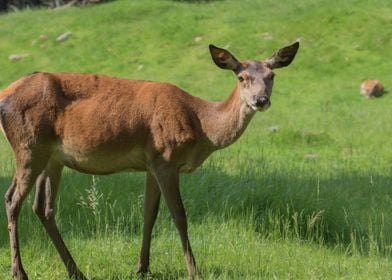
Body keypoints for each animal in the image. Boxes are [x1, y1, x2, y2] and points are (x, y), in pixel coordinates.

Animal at [1, 41, 298, 280]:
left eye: (271, 76)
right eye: (241, 77)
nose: (260, 100)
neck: (201, 125)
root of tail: (5, 94)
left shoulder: (151, 164)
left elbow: (149, 214)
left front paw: (142, 267)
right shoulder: (166, 158)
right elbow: (179, 215)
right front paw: (194, 270)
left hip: (52, 158)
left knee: (43, 207)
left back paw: (76, 271)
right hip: (29, 146)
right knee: (13, 198)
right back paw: (20, 271)